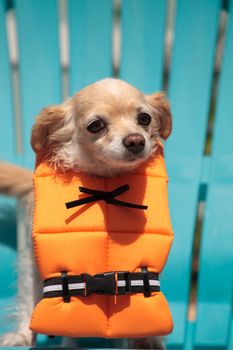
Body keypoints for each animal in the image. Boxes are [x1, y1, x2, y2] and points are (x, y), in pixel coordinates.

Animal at [0, 76, 171, 348]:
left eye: (144, 118)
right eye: (96, 125)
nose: (135, 140)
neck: (104, 181)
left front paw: (145, 339)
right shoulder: (34, 262)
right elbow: (32, 297)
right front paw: (23, 334)